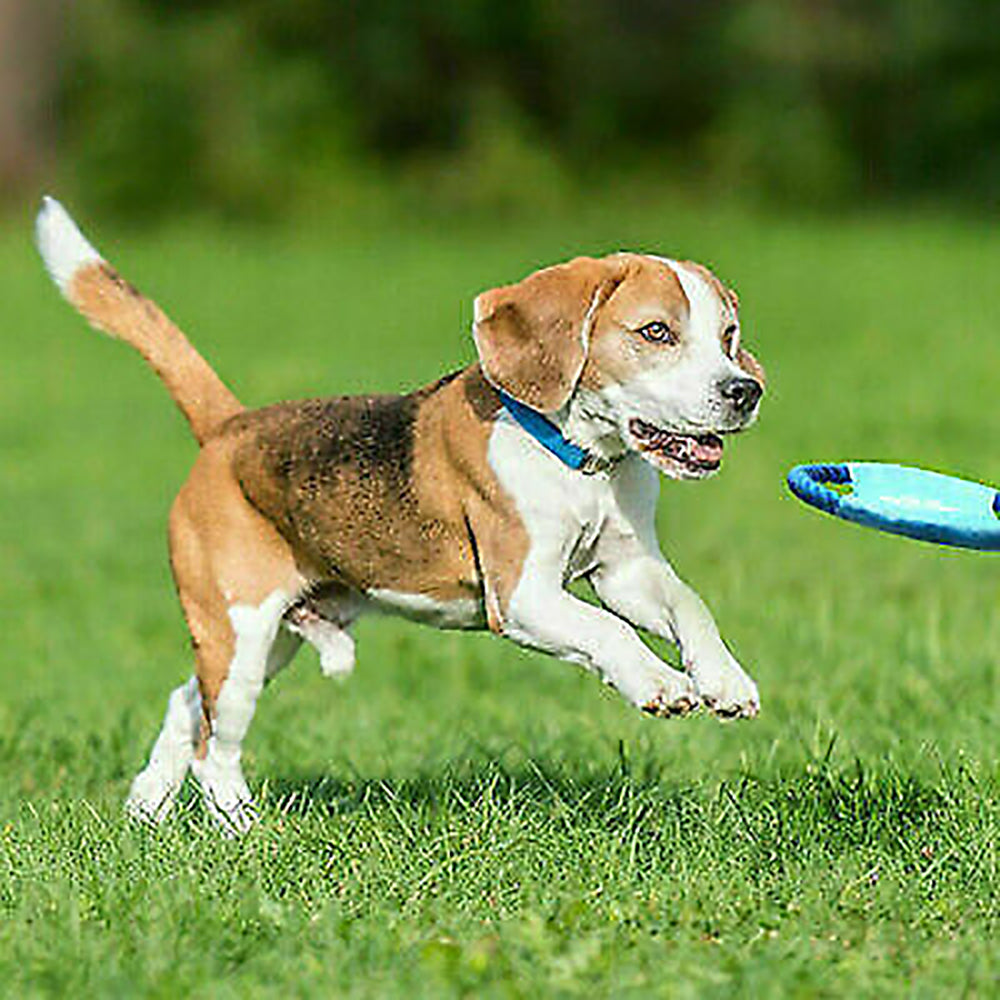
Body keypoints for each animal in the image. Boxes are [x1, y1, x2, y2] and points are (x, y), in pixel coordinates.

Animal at [33, 199, 764, 832]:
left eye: (727, 336)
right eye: (656, 333)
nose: (745, 390)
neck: (583, 462)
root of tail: (230, 428)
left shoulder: (625, 570)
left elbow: (689, 605)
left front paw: (724, 680)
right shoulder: (523, 596)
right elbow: (607, 631)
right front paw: (662, 683)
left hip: (265, 639)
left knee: (188, 705)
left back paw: (147, 808)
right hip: (239, 628)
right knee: (216, 747)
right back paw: (246, 830)